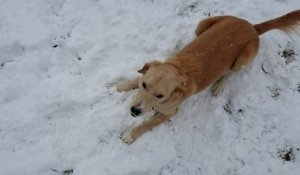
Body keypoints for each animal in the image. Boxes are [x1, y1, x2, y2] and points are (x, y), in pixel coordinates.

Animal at [116, 9, 300, 144]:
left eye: (160, 95)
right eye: (144, 85)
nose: (134, 110)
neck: (178, 70)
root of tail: (253, 27)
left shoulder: (170, 113)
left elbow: (147, 124)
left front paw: (130, 135)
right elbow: (135, 80)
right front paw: (119, 86)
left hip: (243, 58)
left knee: (229, 73)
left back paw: (219, 86)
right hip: (204, 23)